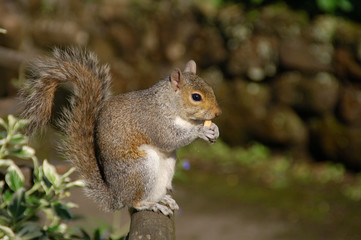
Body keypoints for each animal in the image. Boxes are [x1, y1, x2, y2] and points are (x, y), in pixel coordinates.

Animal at [21, 48, 222, 216]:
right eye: (196, 97)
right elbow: (168, 139)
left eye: (211, 88)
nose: (218, 113)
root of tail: (116, 197)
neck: (170, 105)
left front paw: (214, 129)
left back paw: (162, 200)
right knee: (134, 203)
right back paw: (149, 204)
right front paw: (200, 131)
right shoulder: (153, 121)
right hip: (141, 168)